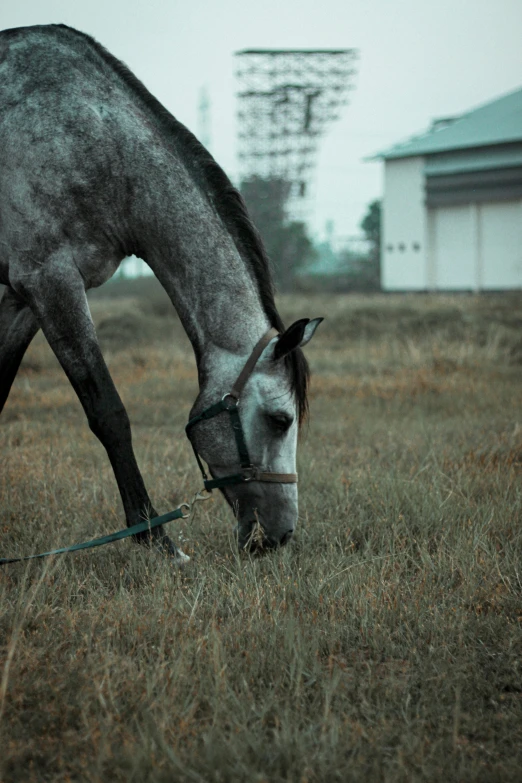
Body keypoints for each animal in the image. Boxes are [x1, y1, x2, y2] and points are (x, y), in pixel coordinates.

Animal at [0, 24, 320, 560]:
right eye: (280, 420)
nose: (279, 538)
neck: (93, 139)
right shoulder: (50, 281)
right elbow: (109, 413)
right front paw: (155, 537)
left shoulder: (21, 298)